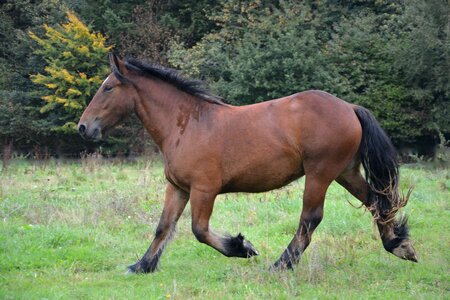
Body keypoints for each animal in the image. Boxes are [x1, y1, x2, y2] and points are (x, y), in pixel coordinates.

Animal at [77, 54, 418, 274]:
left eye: (108, 88)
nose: (83, 127)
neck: (187, 124)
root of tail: (349, 107)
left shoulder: (204, 189)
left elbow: (199, 230)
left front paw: (242, 247)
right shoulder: (178, 188)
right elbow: (163, 227)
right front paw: (142, 266)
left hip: (320, 174)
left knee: (310, 219)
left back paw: (280, 265)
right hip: (345, 172)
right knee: (376, 200)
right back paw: (398, 245)